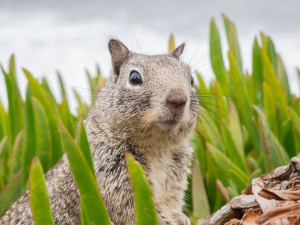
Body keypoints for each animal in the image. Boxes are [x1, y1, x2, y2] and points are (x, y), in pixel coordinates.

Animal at [0, 39, 199, 225]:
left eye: (191, 79)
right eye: (134, 78)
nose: (178, 99)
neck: (158, 147)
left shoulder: (175, 178)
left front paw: (180, 216)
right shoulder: (111, 175)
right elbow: (135, 210)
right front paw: (170, 217)